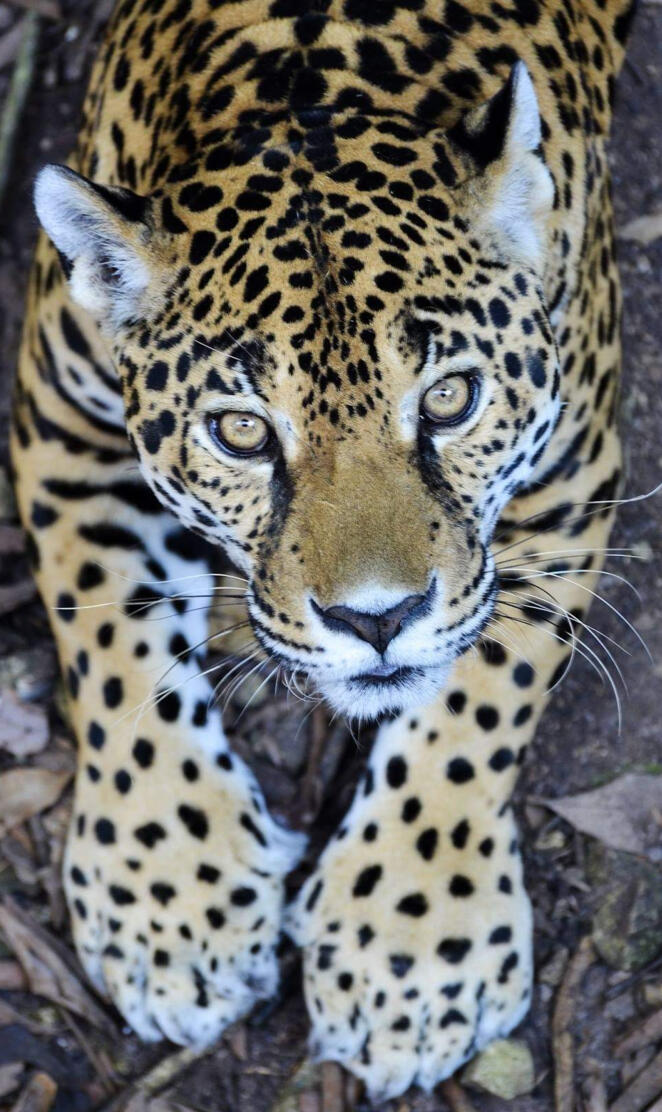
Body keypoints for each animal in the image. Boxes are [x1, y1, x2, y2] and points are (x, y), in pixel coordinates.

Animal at [10, 0, 634, 1100]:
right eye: (241, 432)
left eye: (449, 398)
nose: (374, 620)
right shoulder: (58, 412)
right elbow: (111, 639)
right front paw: (169, 896)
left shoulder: (576, 461)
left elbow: (483, 688)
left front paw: (411, 945)